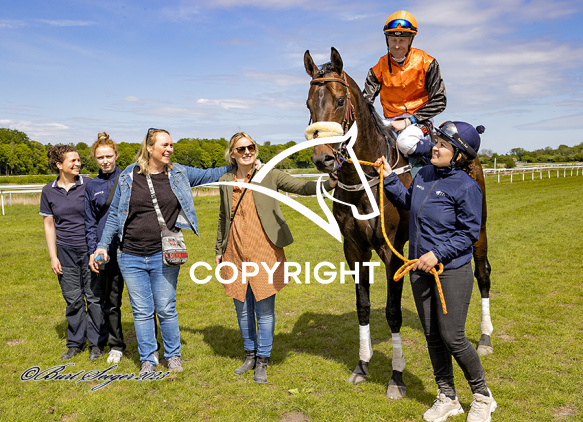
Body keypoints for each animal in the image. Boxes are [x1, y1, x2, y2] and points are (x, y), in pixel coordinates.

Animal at [303, 47, 494, 399]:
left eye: (340, 100)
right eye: (309, 104)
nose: (323, 158)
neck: (363, 180)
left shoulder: (391, 249)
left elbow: (393, 312)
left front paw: (395, 376)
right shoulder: (354, 248)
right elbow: (363, 306)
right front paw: (362, 366)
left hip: (480, 230)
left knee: (483, 274)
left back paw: (486, 338)